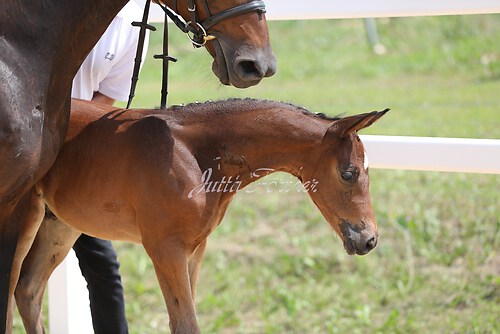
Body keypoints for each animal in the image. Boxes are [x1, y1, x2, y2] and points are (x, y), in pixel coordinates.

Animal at [15, 98, 388, 332]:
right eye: (349, 173)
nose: (369, 240)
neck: (193, 155)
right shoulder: (164, 247)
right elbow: (185, 323)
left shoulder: (196, 247)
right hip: (23, 218)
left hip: (59, 225)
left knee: (27, 291)